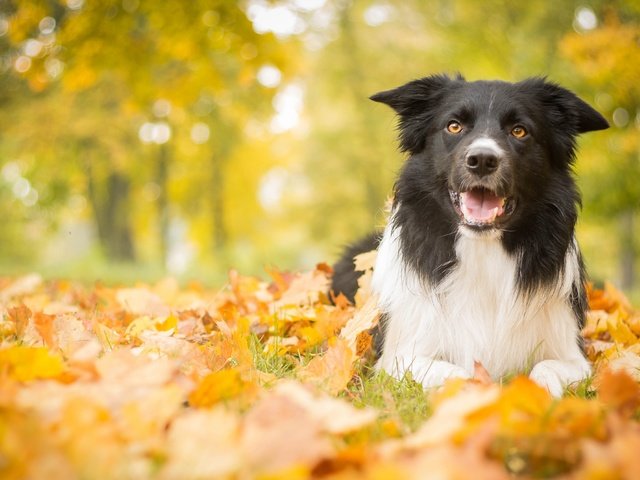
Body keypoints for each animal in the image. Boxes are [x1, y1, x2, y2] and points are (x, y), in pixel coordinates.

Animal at [332, 73, 608, 396]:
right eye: (454, 126)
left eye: (519, 130)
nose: (483, 160)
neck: (482, 249)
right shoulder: (397, 357)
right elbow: (456, 373)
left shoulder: (572, 354)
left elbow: (547, 367)